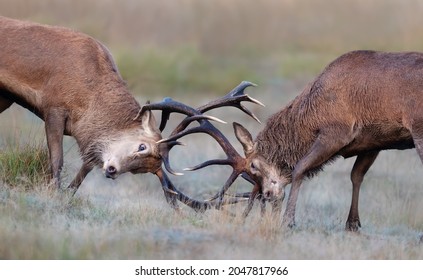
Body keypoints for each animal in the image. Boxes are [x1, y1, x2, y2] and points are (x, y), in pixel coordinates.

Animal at [156, 49, 423, 230]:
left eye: (254, 166)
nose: (267, 195)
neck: (310, 117)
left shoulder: (337, 130)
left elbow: (300, 168)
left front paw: (289, 220)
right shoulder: (372, 142)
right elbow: (356, 176)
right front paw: (352, 225)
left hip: (418, 127)